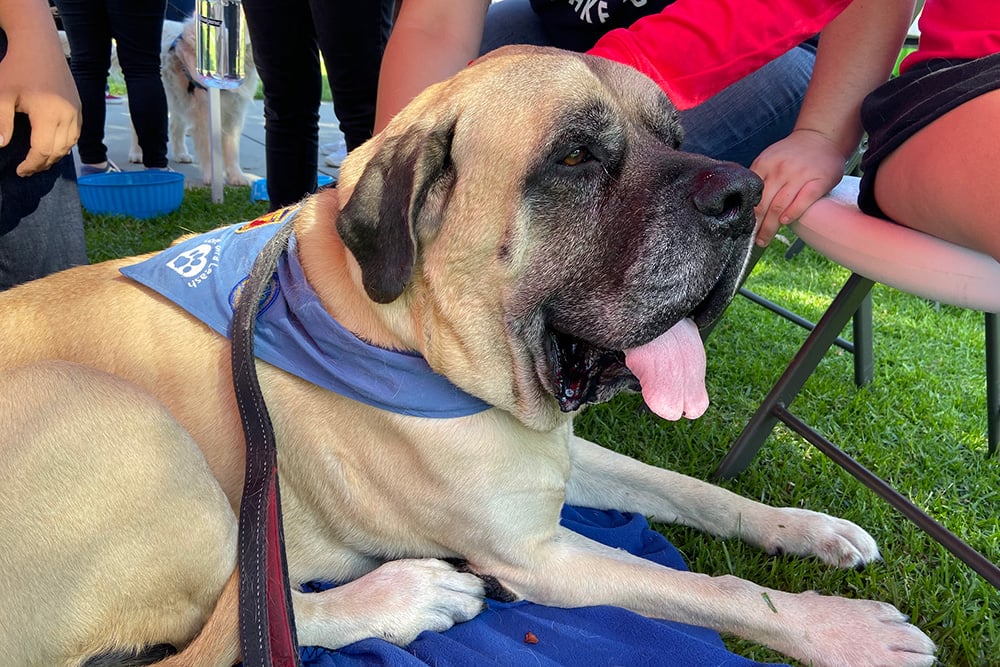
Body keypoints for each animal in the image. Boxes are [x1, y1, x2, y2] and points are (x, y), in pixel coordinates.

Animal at [1, 48, 936, 667]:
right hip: (124, 421)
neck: (415, 339)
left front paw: (808, 527)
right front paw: (844, 629)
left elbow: (692, 488)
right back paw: (405, 594)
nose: (745, 193)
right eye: (575, 156)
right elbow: (725, 591)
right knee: (242, 626)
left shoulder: (553, 460)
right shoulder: (536, 555)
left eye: (676, 133)